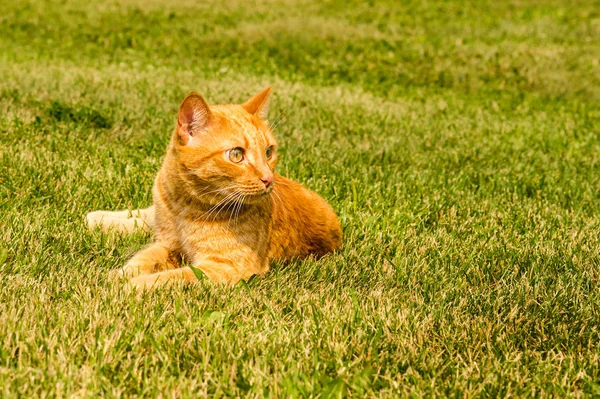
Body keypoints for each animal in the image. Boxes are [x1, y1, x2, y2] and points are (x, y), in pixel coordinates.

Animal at [87, 87, 344, 290]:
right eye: (237, 155)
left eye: (268, 152)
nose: (268, 179)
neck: (185, 206)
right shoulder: (166, 244)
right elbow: (142, 258)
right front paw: (120, 276)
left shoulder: (227, 267)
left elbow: (174, 277)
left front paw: (132, 285)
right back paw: (97, 218)